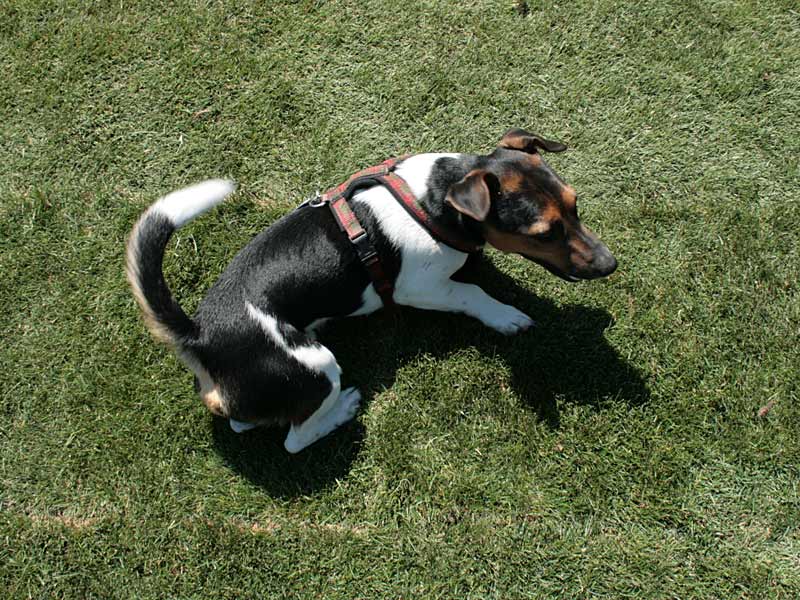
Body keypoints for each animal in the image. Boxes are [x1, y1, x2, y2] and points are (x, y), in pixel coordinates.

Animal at [126, 129, 617, 453]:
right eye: (543, 233)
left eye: (575, 205)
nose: (609, 264)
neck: (433, 198)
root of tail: (199, 336)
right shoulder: (418, 287)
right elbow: (472, 292)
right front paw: (506, 315)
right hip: (315, 365)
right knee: (292, 439)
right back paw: (342, 410)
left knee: (243, 422)